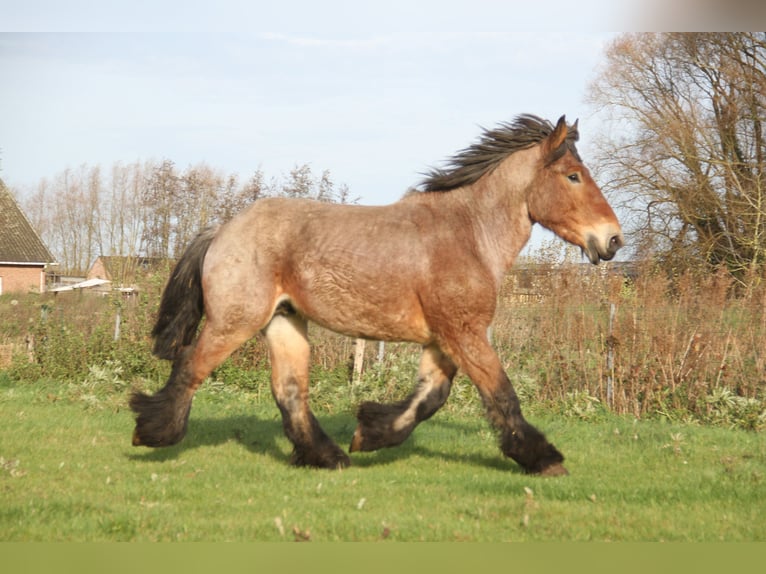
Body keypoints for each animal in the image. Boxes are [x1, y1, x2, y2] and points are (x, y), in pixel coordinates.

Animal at [132, 115, 624, 480]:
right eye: (573, 176)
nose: (613, 240)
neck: (468, 235)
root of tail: (223, 230)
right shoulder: (465, 334)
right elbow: (501, 395)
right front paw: (544, 458)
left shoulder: (443, 340)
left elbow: (429, 398)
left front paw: (368, 433)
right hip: (235, 321)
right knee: (191, 366)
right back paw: (151, 432)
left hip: (285, 322)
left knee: (290, 391)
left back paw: (327, 456)